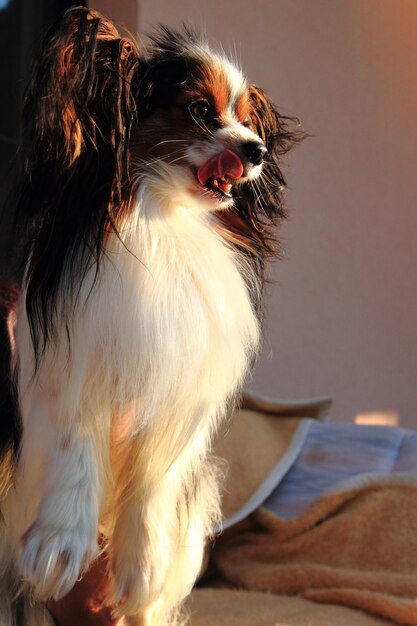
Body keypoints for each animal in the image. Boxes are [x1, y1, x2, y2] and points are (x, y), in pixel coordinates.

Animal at [0, 6, 300, 624]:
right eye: (201, 111)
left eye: (246, 122)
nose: (257, 150)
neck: (163, 217)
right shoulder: (73, 371)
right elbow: (74, 450)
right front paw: (58, 547)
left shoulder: (181, 399)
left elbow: (156, 481)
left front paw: (143, 567)